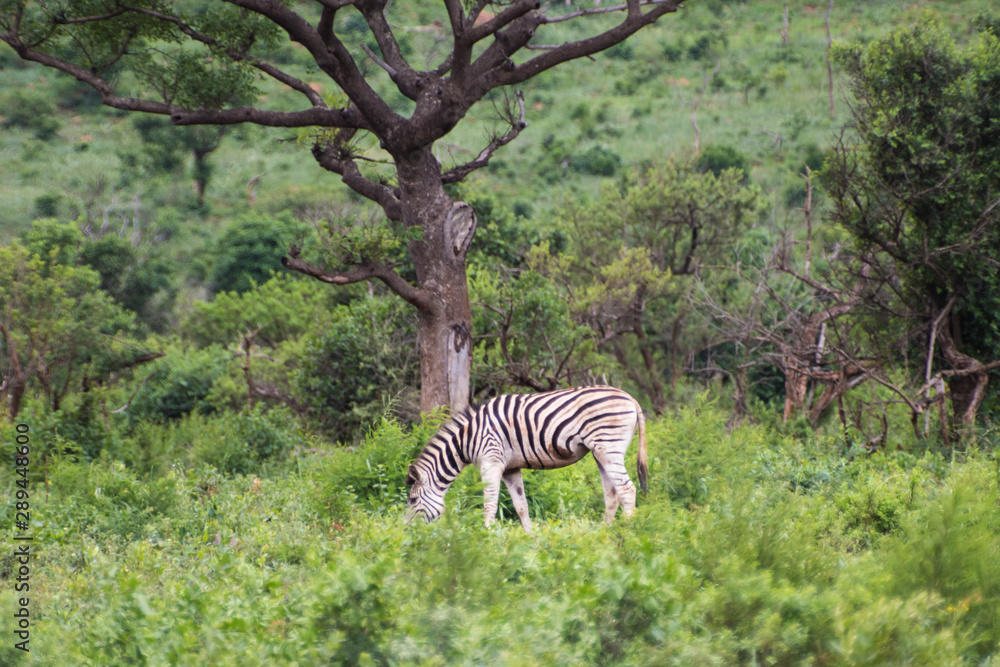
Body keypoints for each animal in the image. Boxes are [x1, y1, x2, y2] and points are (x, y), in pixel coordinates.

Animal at [405, 386, 648, 531]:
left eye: (413, 500)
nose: (405, 530)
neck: (468, 438)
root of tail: (630, 398)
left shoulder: (491, 461)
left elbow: (489, 503)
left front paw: (487, 536)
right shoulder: (510, 468)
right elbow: (521, 506)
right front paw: (529, 538)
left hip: (609, 447)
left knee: (627, 489)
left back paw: (629, 532)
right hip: (600, 452)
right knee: (612, 494)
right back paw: (604, 533)